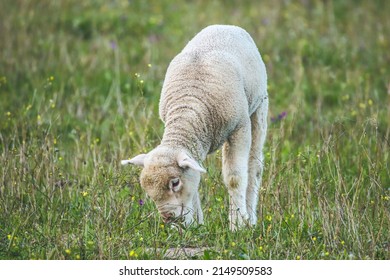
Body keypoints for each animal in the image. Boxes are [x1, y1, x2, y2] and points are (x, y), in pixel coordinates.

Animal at [122, 24, 268, 230]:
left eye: (175, 183)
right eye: (147, 191)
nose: (168, 218)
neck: (189, 107)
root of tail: (224, 25)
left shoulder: (239, 127)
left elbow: (235, 179)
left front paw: (237, 225)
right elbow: (195, 178)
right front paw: (195, 227)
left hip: (259, 106)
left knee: (254, 165)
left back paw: (251, 219)